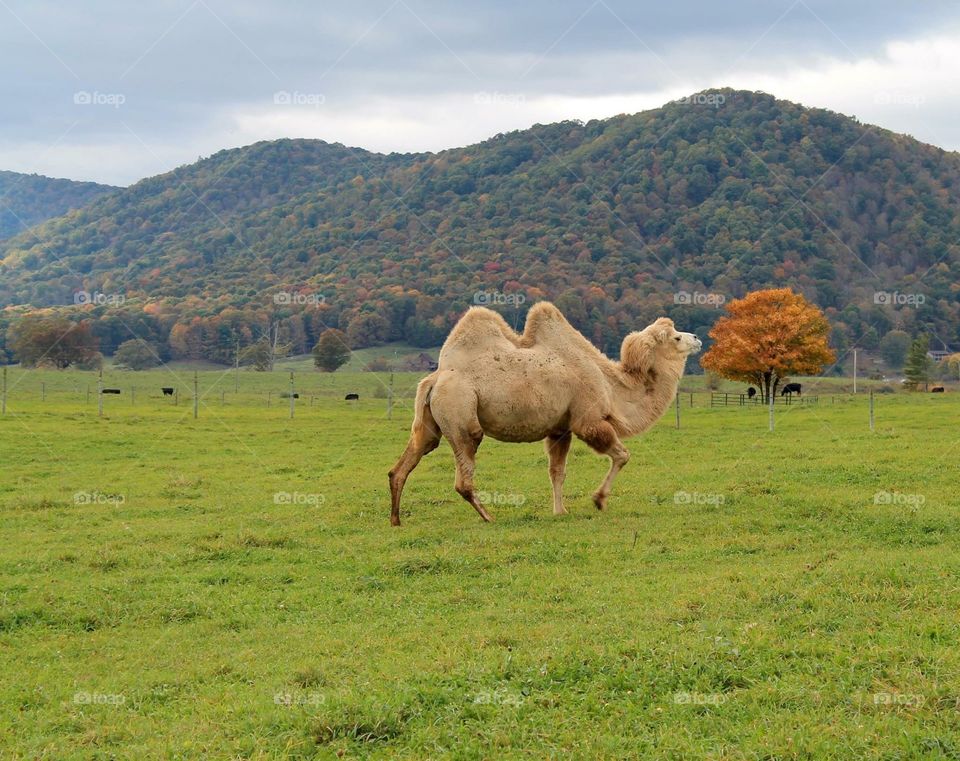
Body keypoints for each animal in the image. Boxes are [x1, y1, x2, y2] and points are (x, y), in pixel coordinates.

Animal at [388, 302, 701, 525]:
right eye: (676, 338)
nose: (697, 337)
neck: (611, 386)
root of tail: (435, 378)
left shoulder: (560, 428)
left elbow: (557, 472)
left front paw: (560, 511)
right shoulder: (588, 421)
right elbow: (622, 455)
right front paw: (599, 500)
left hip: (430, 421)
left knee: (405, 462)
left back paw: (396, 519)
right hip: (461, 411)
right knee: (463, 475)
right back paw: (489, 516)